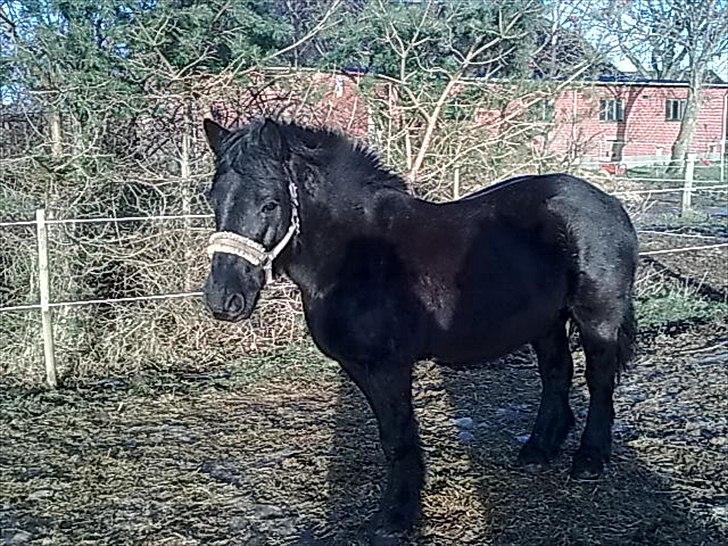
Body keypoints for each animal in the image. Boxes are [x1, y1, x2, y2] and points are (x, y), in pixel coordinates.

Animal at [200, 117, 636, 536]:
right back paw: (539, 450)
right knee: (556, 374)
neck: (356, 254)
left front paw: (396, 517)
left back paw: (589, 460)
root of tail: (610, 203)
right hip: (546, 321)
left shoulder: (388, 367)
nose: (223, 299)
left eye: (270, 204)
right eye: (214, 200)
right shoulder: (360, 367)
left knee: (598, 380)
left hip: (597, 318)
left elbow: (398, 437)